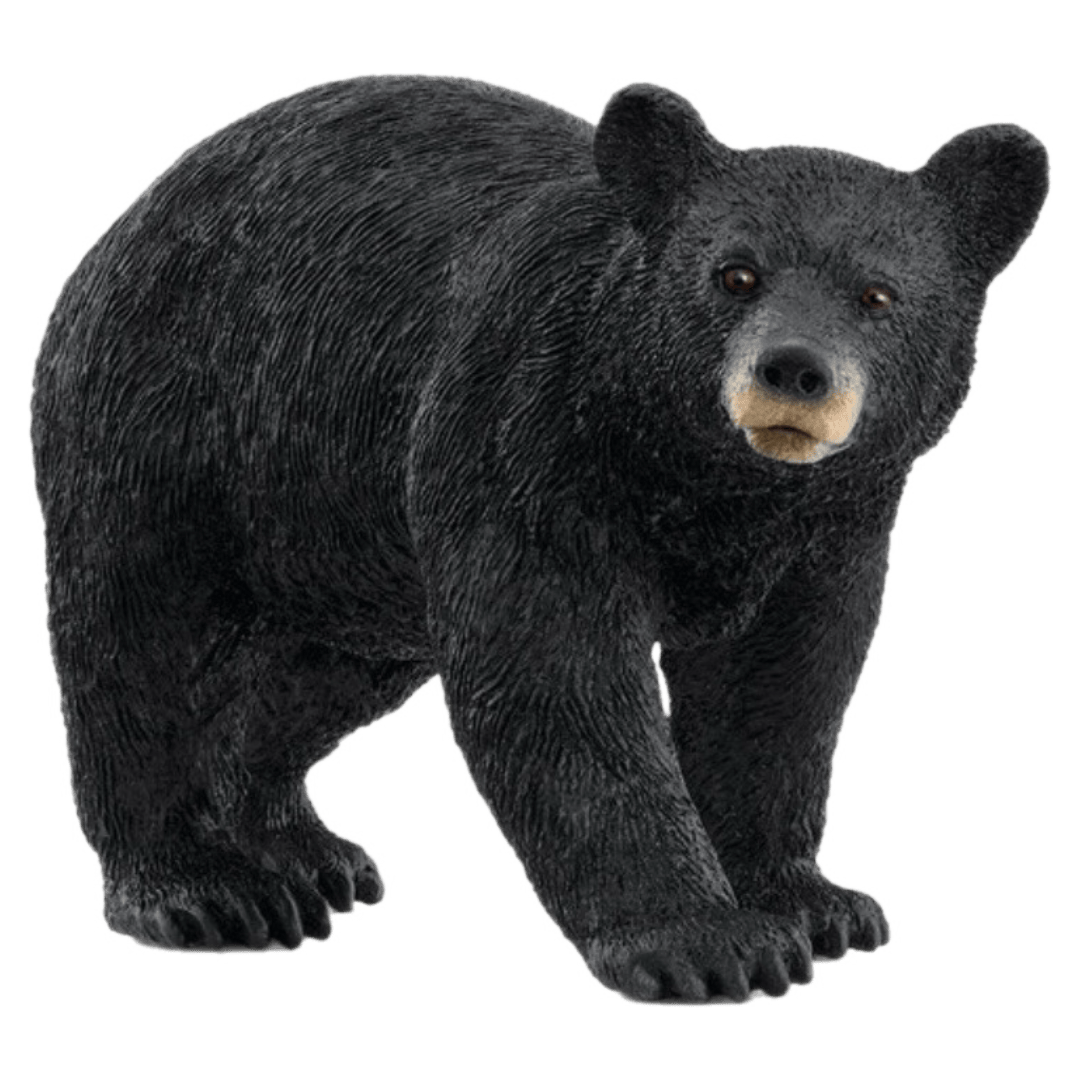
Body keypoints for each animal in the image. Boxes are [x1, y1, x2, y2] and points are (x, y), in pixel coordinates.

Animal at [29, 73, 1050, 1005]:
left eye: (879, 294)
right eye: (734, 273)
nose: (794, 370)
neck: (705, 477)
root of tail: (124, 222)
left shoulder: (831, 527)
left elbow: (782, 685)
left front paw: (814, 902)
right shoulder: (528, 431)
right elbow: (556, 670)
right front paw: (708, 942)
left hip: (344, 538)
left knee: (312, 674)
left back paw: (298, 852)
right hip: (165, 416)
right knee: (138, 643)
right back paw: (205, 889)